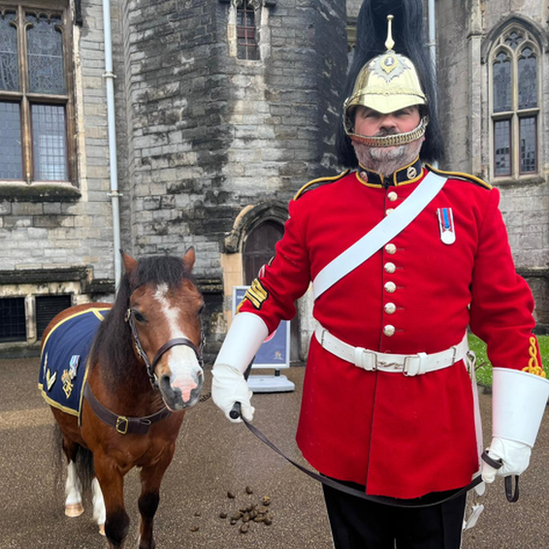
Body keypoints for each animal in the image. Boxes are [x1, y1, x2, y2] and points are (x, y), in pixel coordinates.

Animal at [41, 249, 203, 548]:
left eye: (199, 308)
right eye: (138, 314)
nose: (184, 385)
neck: (137, 405)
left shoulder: (160, 457)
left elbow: (148, 506)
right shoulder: (108, 461)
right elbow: (117, 526)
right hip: (67, 427)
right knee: (70, 453)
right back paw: (73, 502)